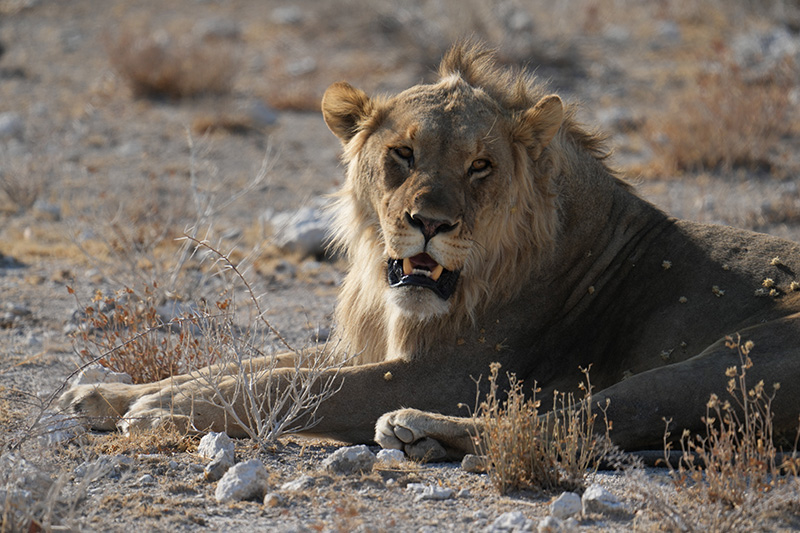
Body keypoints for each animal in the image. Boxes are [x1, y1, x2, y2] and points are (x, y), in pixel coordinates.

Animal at [59, 42, 800, 460]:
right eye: (403, 153)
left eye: (480, 166)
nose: (428, 223)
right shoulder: (370, 346)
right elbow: (251, 365)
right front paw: (114, 392)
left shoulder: (451, 371)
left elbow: (301, 385)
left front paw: (160, 411)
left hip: (729, 365)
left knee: (577, 421)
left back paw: (417, 429)